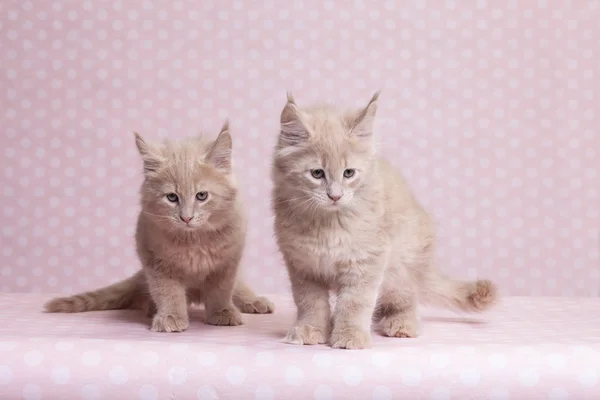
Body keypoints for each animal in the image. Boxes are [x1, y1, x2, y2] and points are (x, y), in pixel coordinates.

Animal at [45, 122, 274, 332]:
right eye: (172, 197)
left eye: (201, 196)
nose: (186, 217)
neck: (194, 241)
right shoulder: (155, 260)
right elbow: (167, 291)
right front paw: (171, 316)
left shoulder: (227, 263)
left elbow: (221, 290)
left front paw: (222, 312)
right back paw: (153, 309)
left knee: (240, 288)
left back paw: (254, 301)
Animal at [272, 92, 496, 348]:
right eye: (317, 173)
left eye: (349, 173)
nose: (335, 196)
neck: (327, 224)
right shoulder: (303, 267)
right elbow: (310, 303)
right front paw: (310, 330)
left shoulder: (368, 260)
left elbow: (354, 303)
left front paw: (349, 336)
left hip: (398, 271)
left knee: (408, 299)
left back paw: (402, 325)